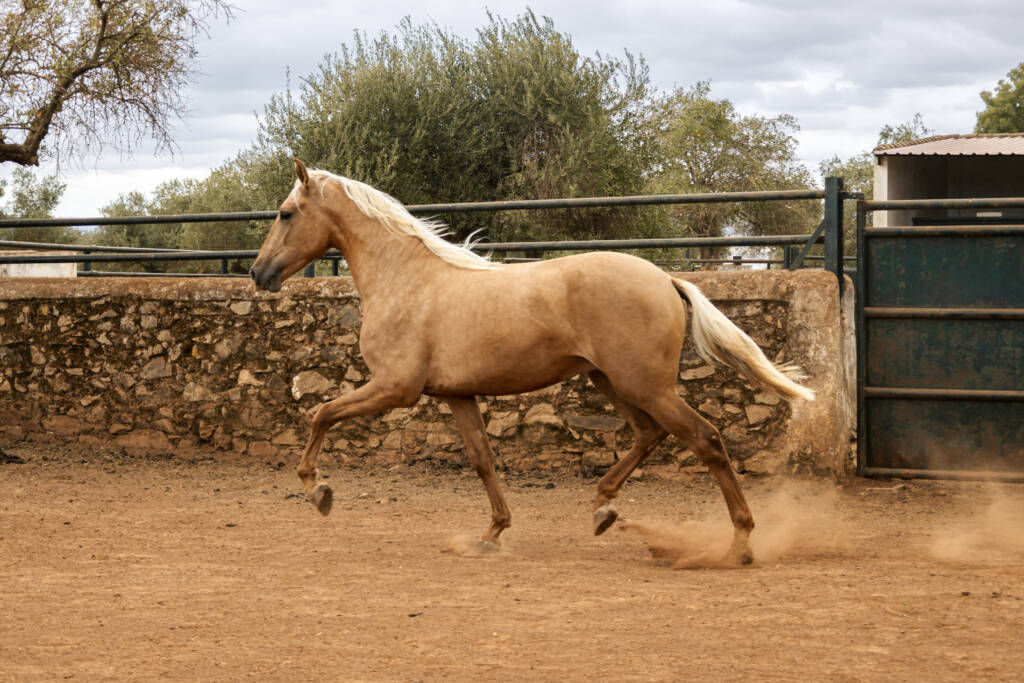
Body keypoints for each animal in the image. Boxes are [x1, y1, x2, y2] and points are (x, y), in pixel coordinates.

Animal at [250, 159, 815, 565]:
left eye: (284, 213)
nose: (258, 273)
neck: (405, 278)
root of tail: (665, 279)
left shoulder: (394, 388)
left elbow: (320, 413)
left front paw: (318, 490)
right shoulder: (456, 395)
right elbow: (482, 459)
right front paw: (491, 535)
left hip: (644, 386)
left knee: (706, 439)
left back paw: (738, 545)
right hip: (611, 382)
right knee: (649, 435)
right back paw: (603, 508)